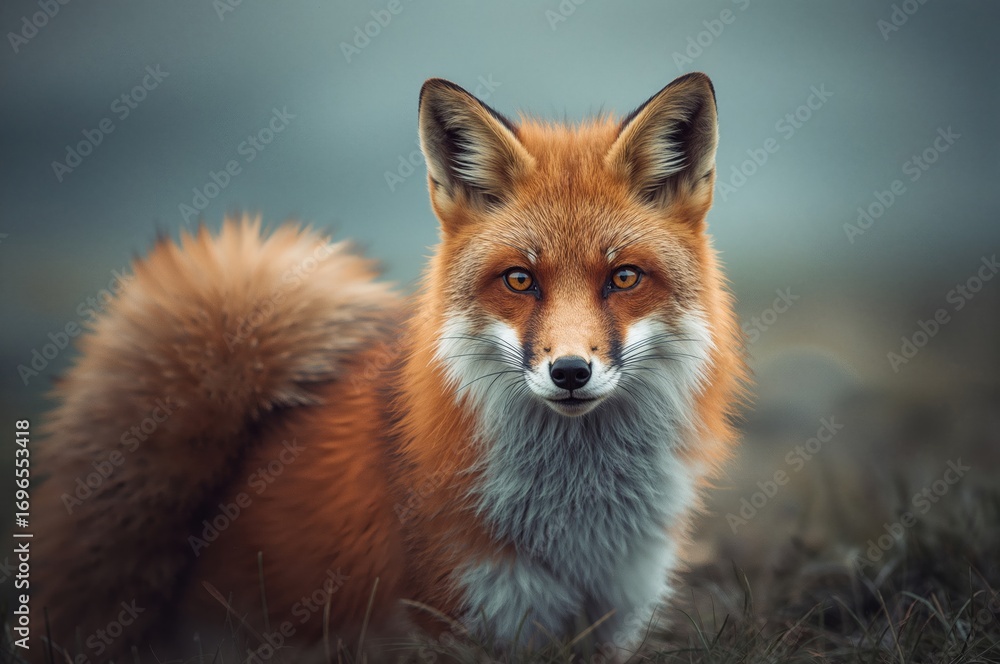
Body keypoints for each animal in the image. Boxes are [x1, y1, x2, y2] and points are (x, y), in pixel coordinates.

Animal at [31, 72, 746, 662]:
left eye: (624, 277)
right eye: (519, 280)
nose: (570, 371)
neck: (575, 524)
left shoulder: (613, 618)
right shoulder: (464, 621)